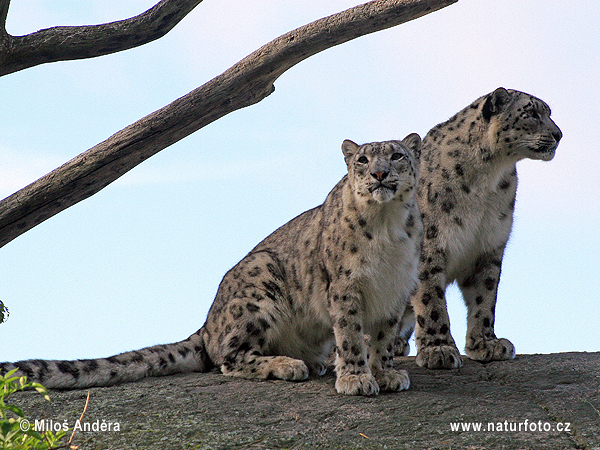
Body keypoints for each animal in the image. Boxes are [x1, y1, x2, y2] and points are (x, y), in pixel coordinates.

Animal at [1, 134, 422, 398]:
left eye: (397, 155)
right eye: (363, 159)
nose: (380, 173)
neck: (386, 229)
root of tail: (208, 323)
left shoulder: (397, 289)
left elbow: (383, 338)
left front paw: (385, 373)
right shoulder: (344, 287)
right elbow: (350, 334)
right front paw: (356, 379)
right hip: (260, 282)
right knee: (229, 358)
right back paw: (288, 365)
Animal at [408, 88, 564, 370]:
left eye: (548, 113)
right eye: (531, 113)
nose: (559, 134)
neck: (487, 178)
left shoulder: (489, 245)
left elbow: (485, 296)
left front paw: (486, 344)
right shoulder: (430, 244)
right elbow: (431, 299)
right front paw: (439, 349)